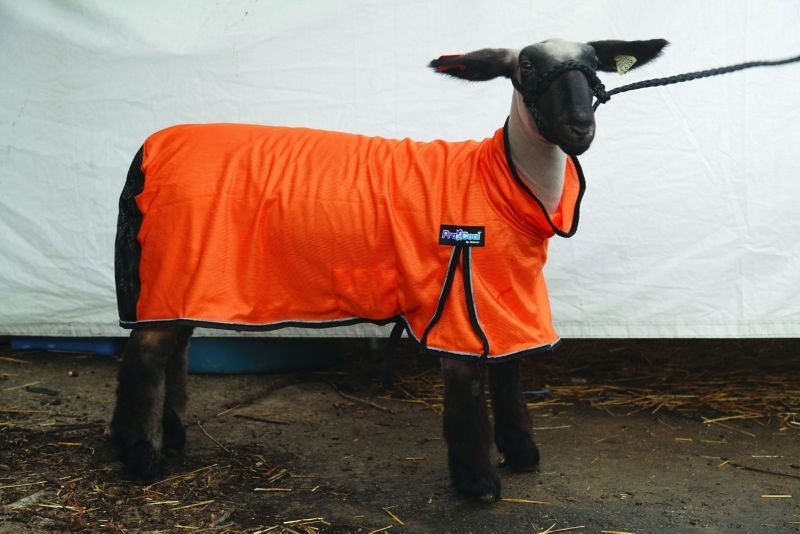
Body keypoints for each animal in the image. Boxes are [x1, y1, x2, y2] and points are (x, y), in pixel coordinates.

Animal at [111, 37, 668, 501]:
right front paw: (478, 483)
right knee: (147, 354)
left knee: (175, 348)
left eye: (594, 64)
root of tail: (150, 148)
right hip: (173, 261)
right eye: (527, 66)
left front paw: (522, 455)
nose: (580, 128)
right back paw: (142, 459)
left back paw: (172, 437)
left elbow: (509, 372)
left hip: (184, 276)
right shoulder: (459, 296)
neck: (504, 181)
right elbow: (468, 387)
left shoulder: (505, 294)